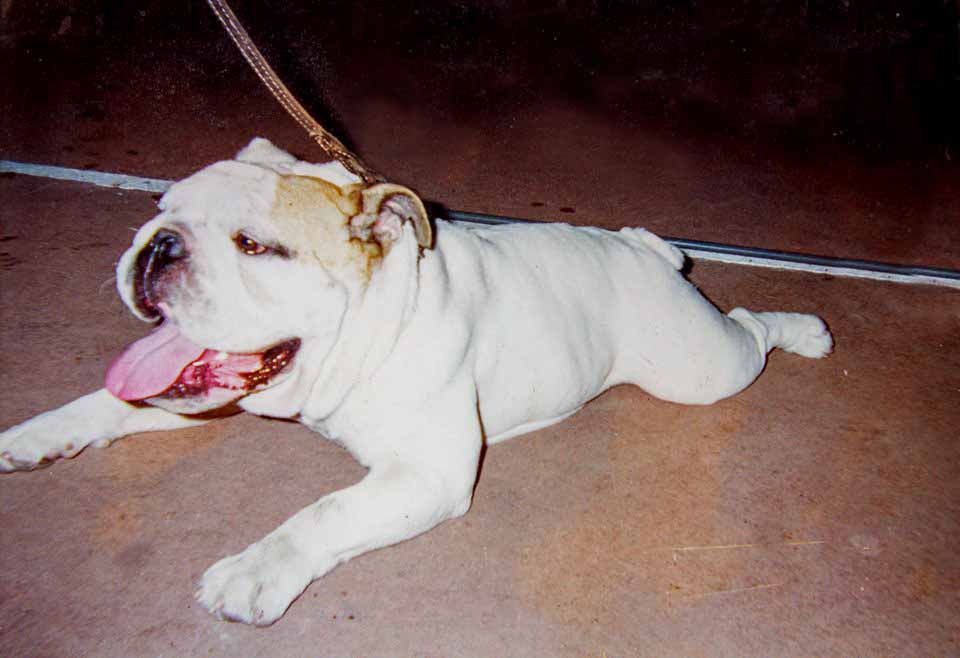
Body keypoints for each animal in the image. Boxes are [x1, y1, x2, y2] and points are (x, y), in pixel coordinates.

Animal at [0, 138, 832, 625]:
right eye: (160, 208)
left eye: (253, 246)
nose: (158, 244)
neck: (368, 325)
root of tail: (642, 249)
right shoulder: (211, 391)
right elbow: (110, 401)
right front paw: (39, 435)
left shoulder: (425, 474)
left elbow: (325, 512)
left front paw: (254, 572)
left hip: (699, 367)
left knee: (749, 327)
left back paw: (806, 330)